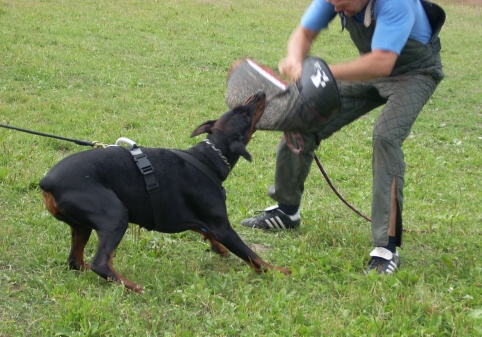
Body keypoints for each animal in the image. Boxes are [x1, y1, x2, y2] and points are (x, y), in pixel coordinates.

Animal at [39, 90, 290, 292]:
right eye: (243, 113)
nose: (260, 92)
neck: (209, 158)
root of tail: (46, 182)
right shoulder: (223, 227)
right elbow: (251, 255)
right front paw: (278, 272)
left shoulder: (190, 218)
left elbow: (205, 231)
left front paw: (219, 250)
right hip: (114, 215)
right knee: (100, 263)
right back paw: (134, 287)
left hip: (81, 226)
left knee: (74, 262)